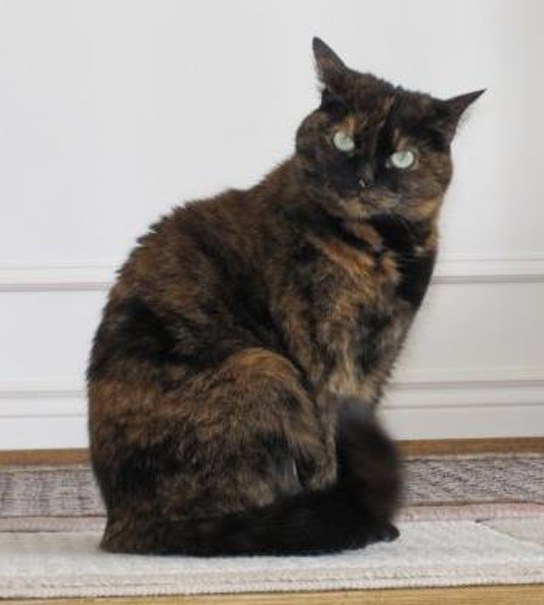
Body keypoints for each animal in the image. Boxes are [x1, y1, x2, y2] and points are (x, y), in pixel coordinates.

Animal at [87, 37, 482, 556]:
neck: (381, 249)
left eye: (403, 158)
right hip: (264, 367)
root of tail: (122, 523)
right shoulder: (328, 360)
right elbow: (330, 447)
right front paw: (358, 519)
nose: (364, 179)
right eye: (343, 141)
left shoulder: (377, 362)